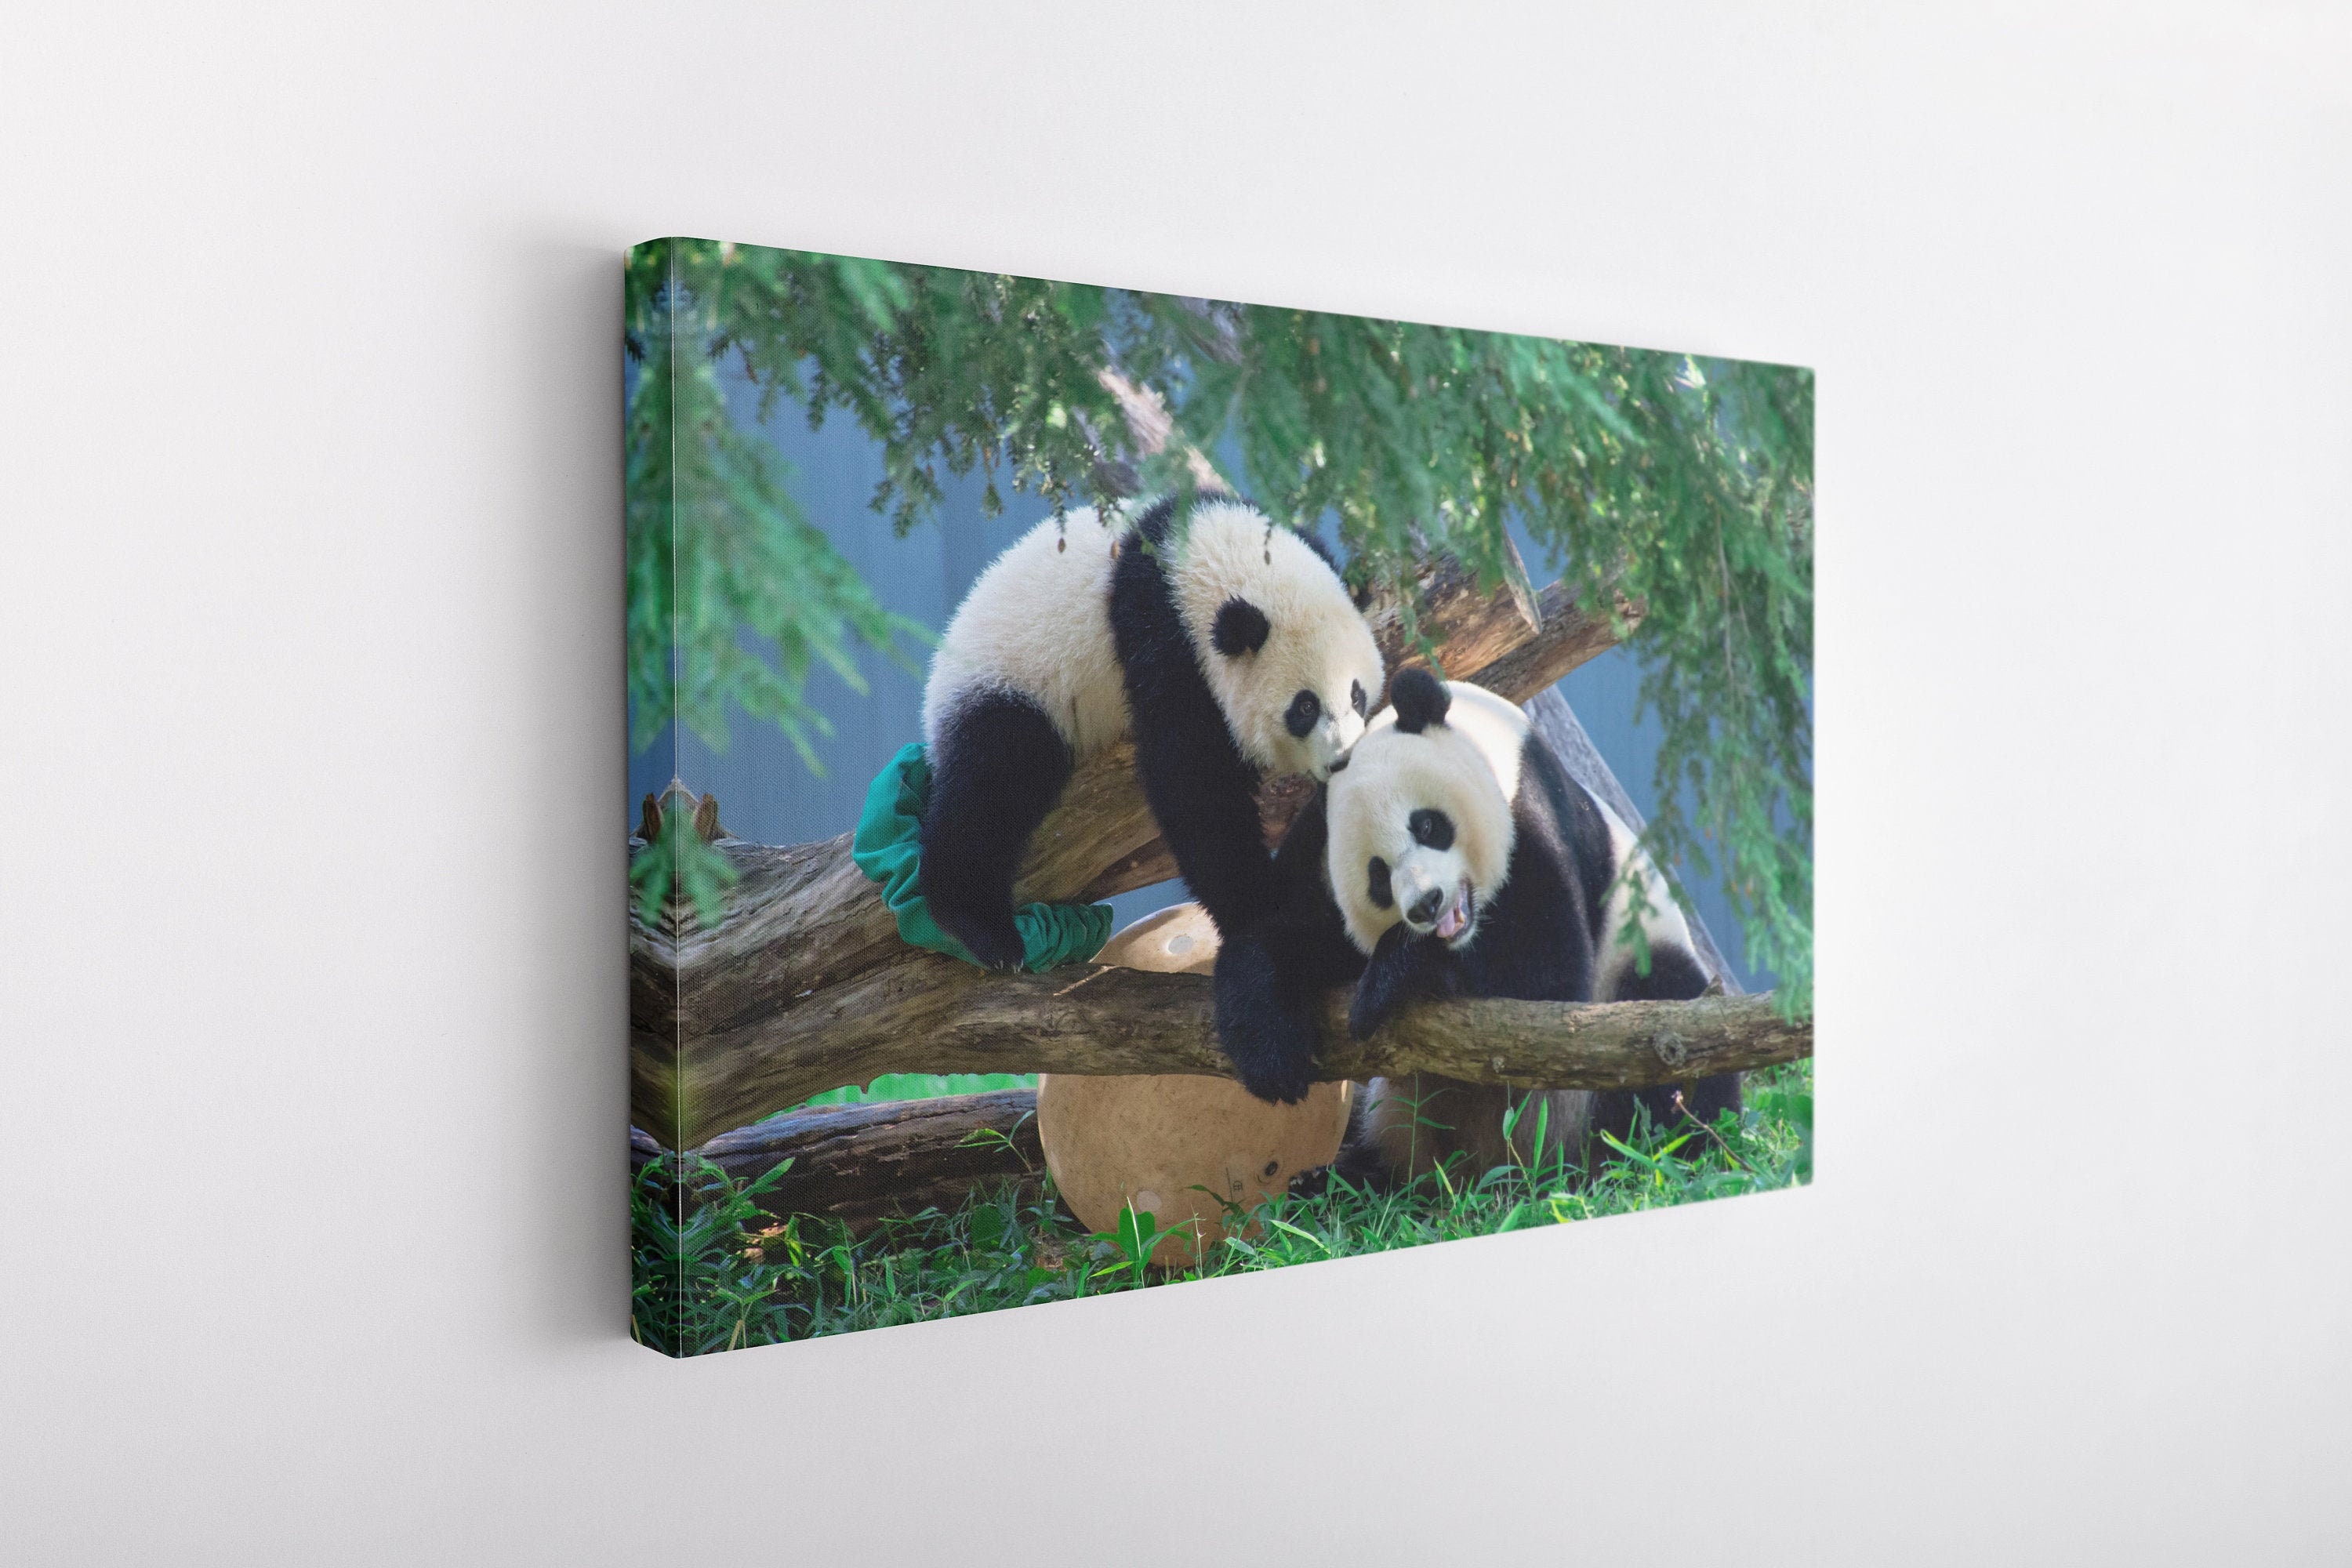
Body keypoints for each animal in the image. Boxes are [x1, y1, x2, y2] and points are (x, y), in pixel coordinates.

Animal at [918, 495, 1384, 1097]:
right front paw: (1255, 904)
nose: (1342, 759)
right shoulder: (1160, 638)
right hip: (1012, 684)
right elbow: (1190, 780)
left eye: (1356, 694)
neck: (1206, 552)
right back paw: (983, 927)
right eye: (1304, 707)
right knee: (992, 781)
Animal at [1317, 667, 1741, 1183]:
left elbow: (1549, 977)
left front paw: (1392, 978)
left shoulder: (1532, 812)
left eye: (1427, 826)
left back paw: (1659, 1154)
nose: (1426, 905)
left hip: (1634, 966)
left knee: (1672, 1025)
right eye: (1378, 877)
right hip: (1400, 1116)